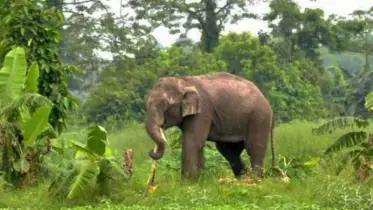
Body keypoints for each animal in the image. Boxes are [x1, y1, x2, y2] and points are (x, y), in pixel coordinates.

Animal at [144, 72, 274, 179]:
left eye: (165, 104)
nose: (151, 151)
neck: (184, 81)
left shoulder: (203, 111)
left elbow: (192, 141)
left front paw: (187, 182)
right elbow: (198, 143)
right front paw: (199, 180)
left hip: (259, 117)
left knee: (254, 147)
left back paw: (255, 180)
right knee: (228, 150)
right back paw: (243, 179)